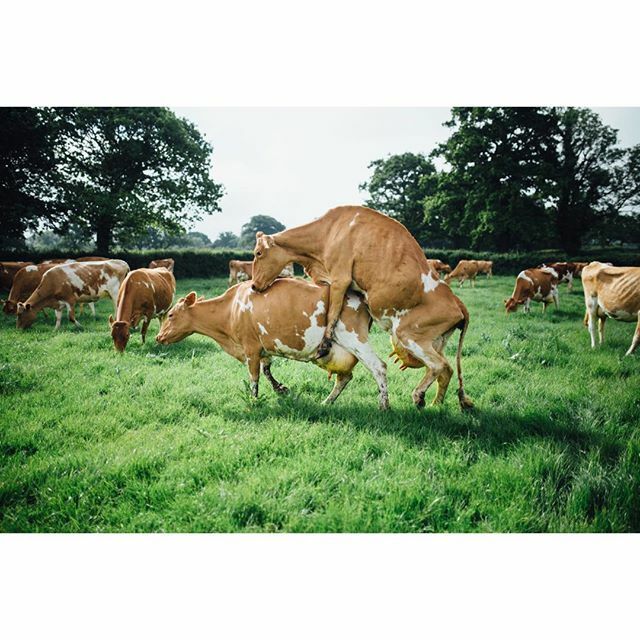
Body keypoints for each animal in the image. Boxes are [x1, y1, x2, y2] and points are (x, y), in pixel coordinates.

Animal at [156, 279, 389, 408]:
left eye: (171, 315)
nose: (158, 337)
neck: (231, 308)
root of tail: (359, 297)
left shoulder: (250, 348)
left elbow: (254, 377)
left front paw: (254, 401)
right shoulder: (263, 348)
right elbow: (267, 370)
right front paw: (281, 389)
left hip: (354, 339)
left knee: (379, 367)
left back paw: (384, 405)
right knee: (344, 377)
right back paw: (327, 402)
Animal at [250, 205, 473, 411]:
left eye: (258, 253)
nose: (253, 285)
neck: (328, 231)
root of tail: (457, 301)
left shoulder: (340, 278)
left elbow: (333, 312)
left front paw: (324, 344)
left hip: (408, 333)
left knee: (437, 365)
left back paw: (417, 396)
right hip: (435, 340)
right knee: (447, 370)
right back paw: (436, 405)